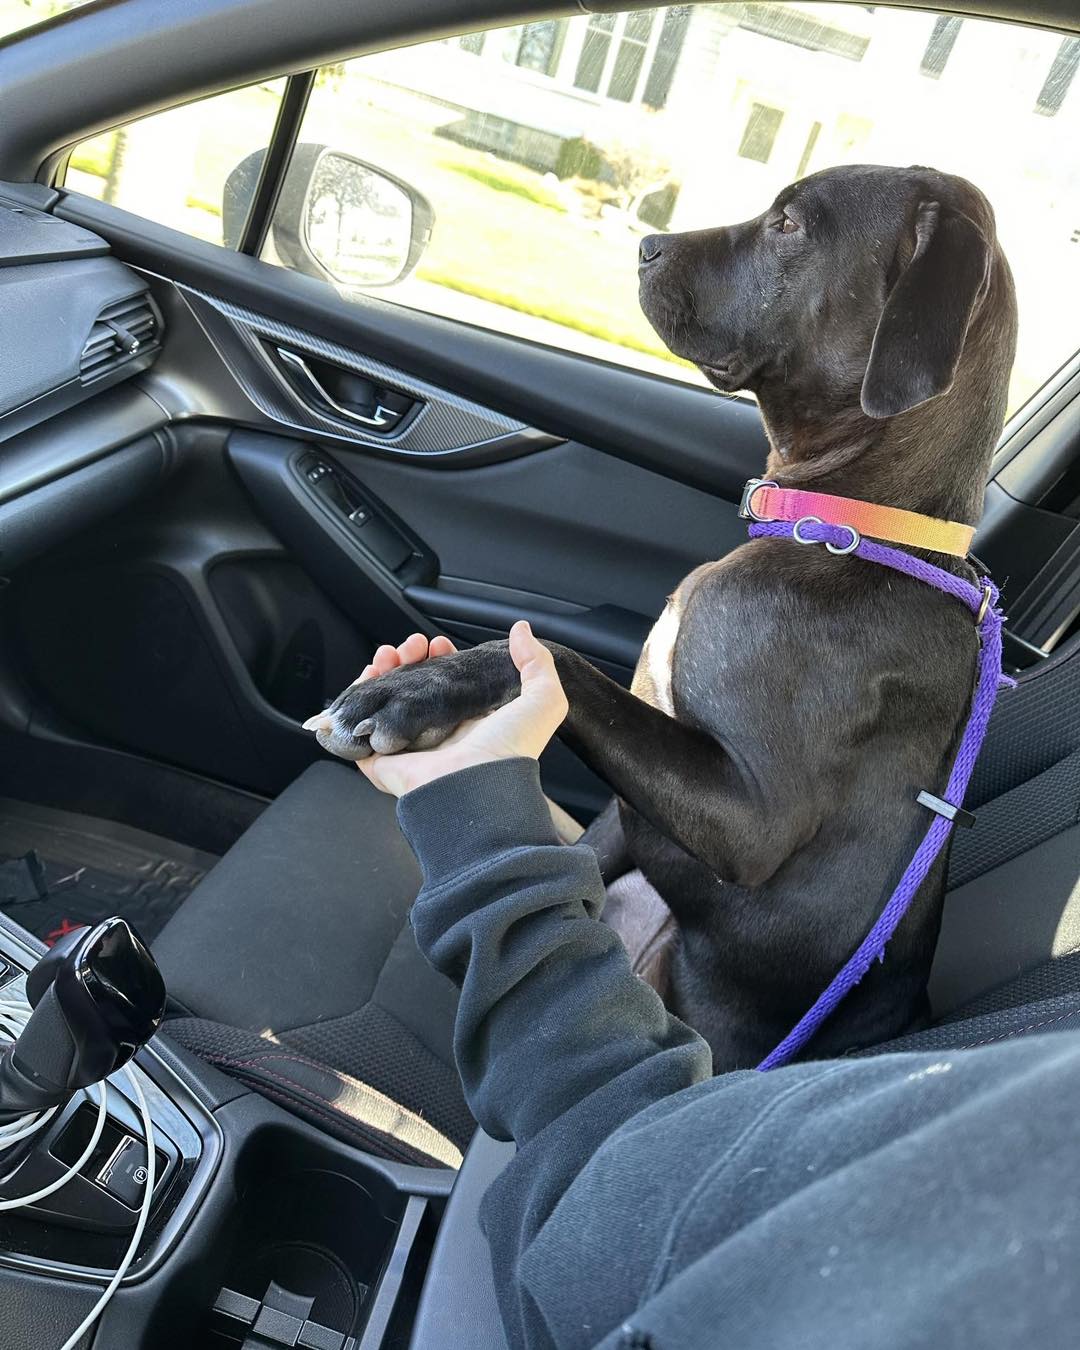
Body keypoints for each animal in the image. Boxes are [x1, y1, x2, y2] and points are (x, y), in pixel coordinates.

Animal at [310, 168, 1015, 1069]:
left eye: (790, 224)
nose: (647, 244)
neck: (851, 532)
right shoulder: (629, 806)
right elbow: (590, 823)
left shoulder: (749, 822)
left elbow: (560, 658)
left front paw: (417, 691)